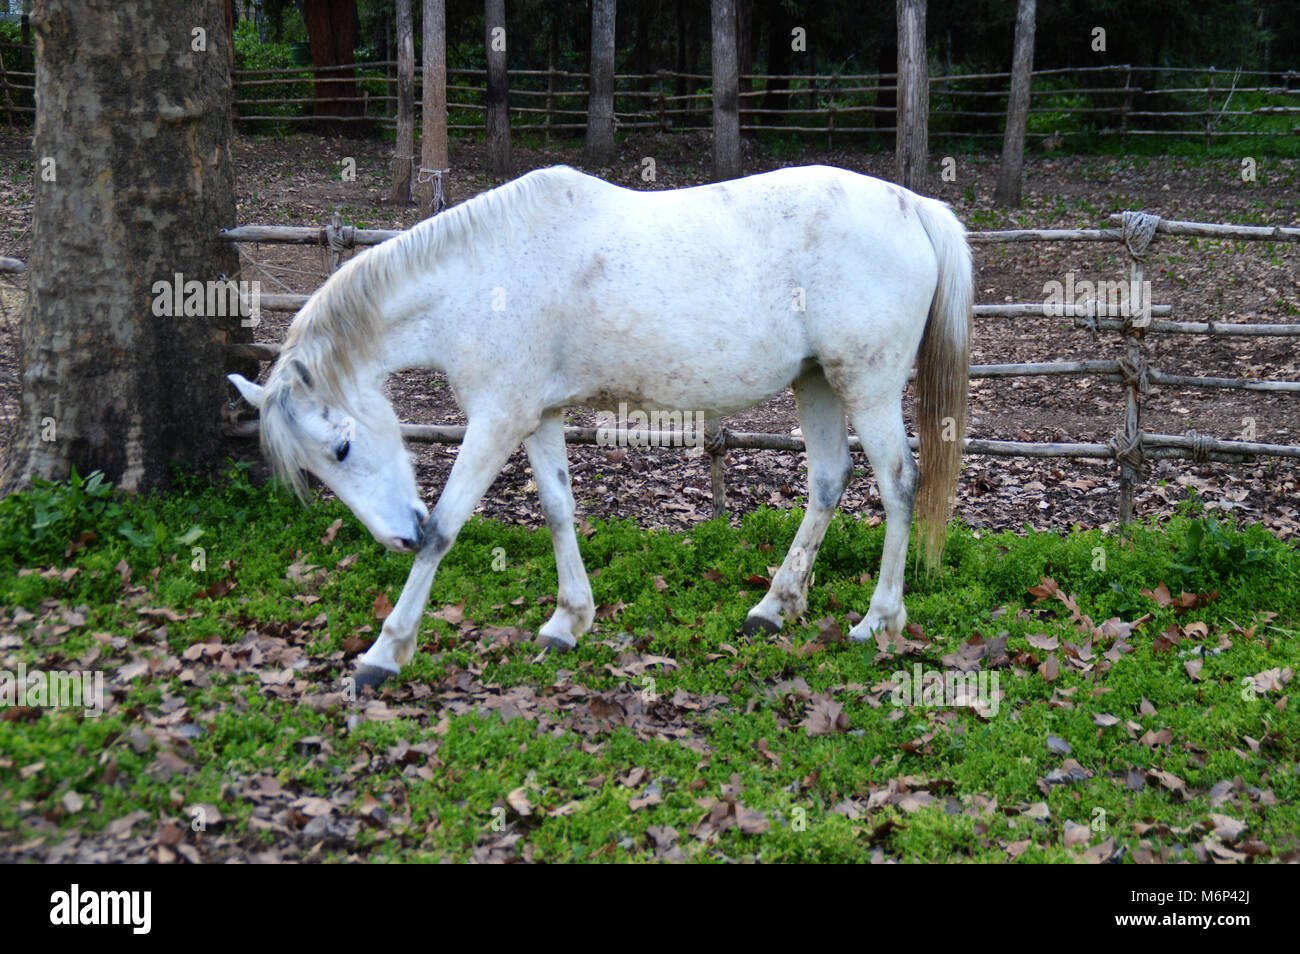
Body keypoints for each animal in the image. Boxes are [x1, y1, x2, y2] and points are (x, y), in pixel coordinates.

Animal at [228, 164, 972, 686]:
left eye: (342, 446)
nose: (396, 537)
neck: (484, 277)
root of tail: (913, 207)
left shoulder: (497, 419)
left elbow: (448, 526)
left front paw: (385, 652)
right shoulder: (537, 415)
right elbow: (559, 509)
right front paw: (568, 621)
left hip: (867, 386)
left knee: (899, 485)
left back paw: (878, 620)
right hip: (816, 381)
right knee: (827, 482)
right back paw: (775, 605)